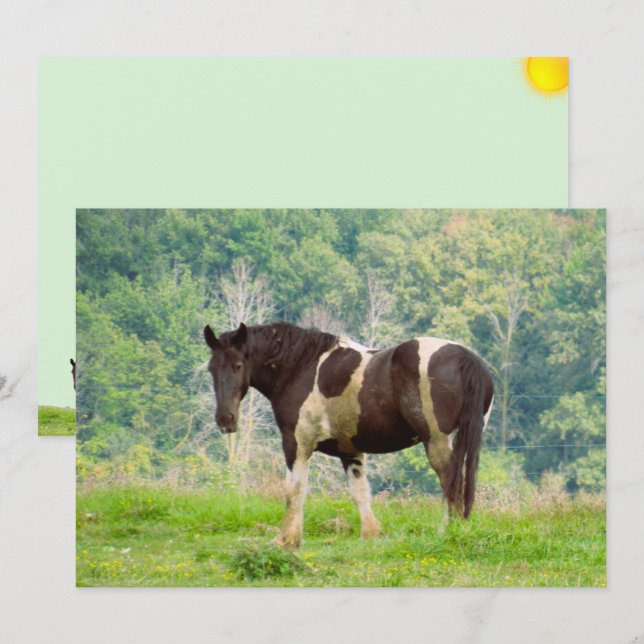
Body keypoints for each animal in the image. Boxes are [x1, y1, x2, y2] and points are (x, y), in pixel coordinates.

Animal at [204, 321, 494, 549]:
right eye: (211, 368)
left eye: (238, 365)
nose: (225, 420)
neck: (300, 367)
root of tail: (465, 357)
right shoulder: (350, 451)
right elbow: (360, 492)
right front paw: (372, 534)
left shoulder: (296, 445)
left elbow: (294, 489)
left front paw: (287, 539)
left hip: (437, 442)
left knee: (450, 482)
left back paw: (447, 531)